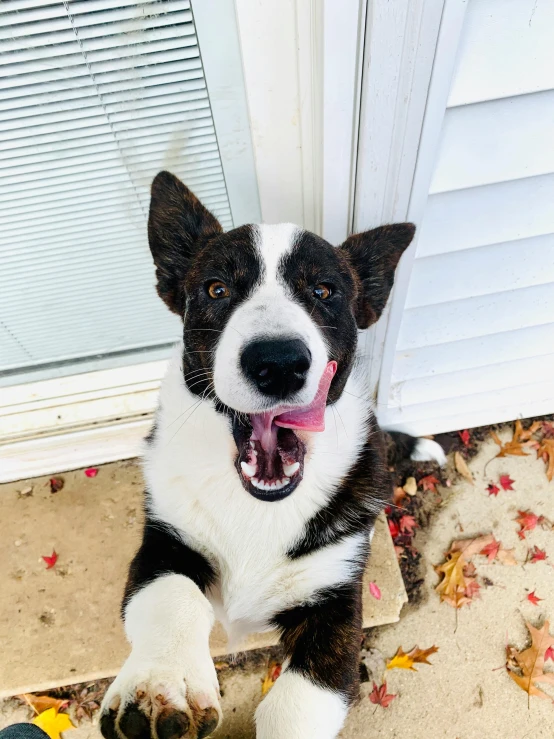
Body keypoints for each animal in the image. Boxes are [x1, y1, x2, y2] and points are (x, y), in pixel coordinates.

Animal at [99, 172, 444, 739]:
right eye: (217, 289)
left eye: (324, 291)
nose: (278, 363)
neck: (256, 511)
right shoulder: (165, 545)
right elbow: (174, 600)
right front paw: (160, 686)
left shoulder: (336, 602)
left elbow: (300, 703)